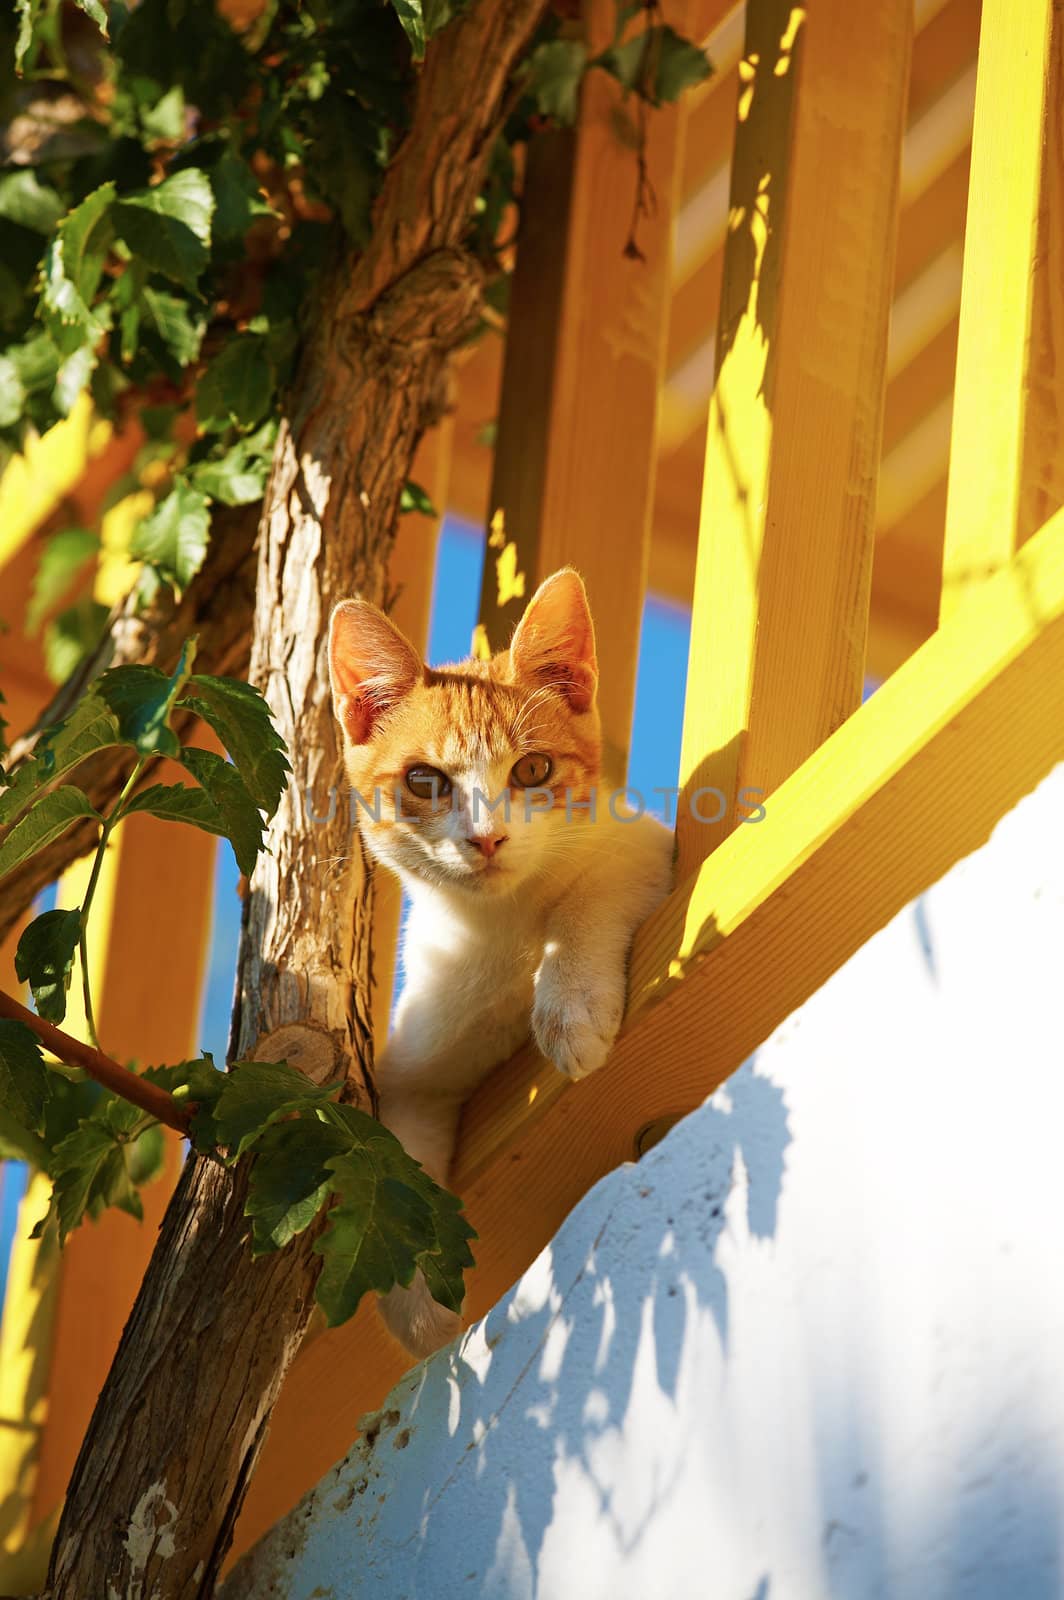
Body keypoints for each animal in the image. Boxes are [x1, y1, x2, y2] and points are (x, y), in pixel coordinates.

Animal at [328, 569, 668, 1356]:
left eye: (533, 768)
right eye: (425, 780)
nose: (486, 840)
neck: (500, 926)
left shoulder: (648, 846)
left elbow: (591, 891)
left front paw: (568, 1007)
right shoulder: (417, 1065)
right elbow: (400, 1149)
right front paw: (419, 1304)